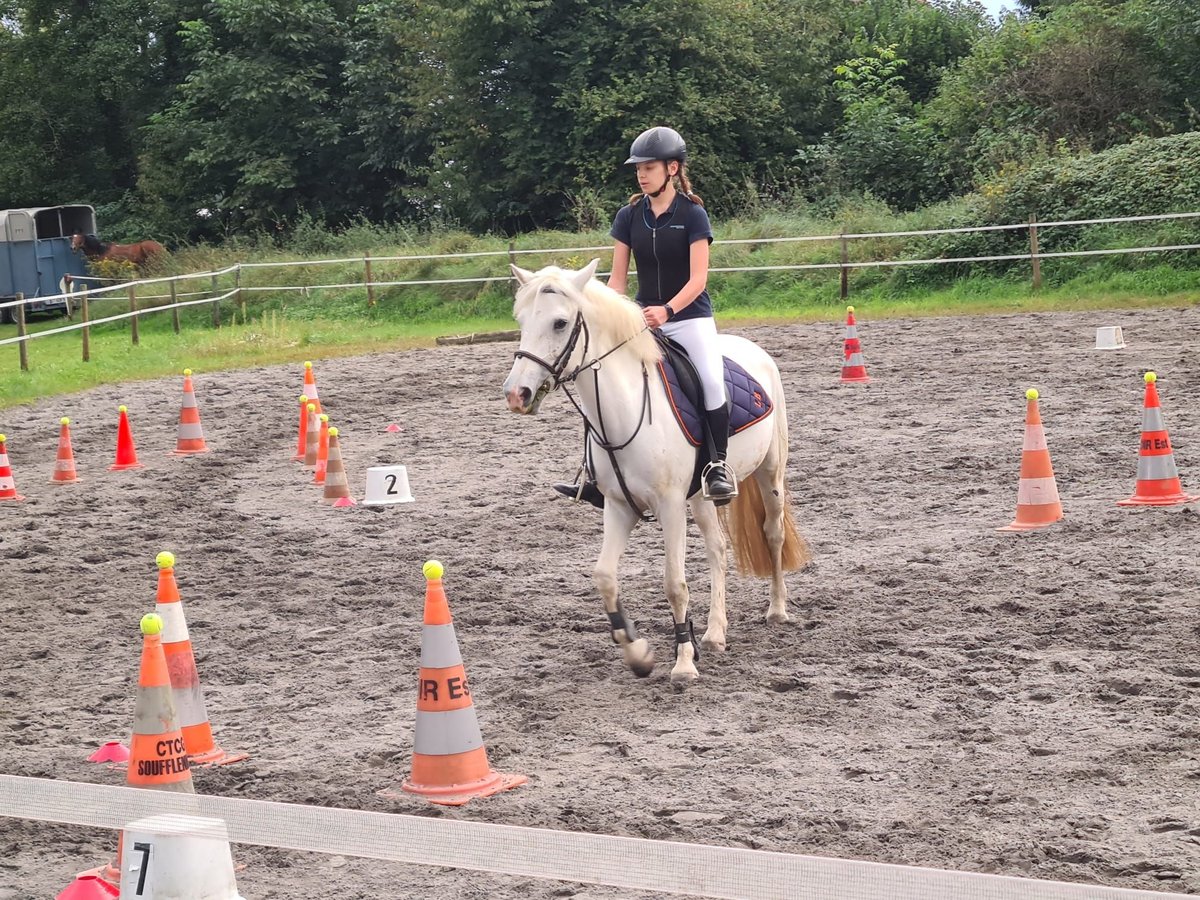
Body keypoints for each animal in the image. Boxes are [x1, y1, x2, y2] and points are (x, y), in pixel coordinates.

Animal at [501, 260, 811, 691]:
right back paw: (715, 633)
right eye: (520, 320)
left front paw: (683, 663)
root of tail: (753, 350)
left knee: (773, 533)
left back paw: (777, 610)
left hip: (770, 473)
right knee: (718, 549)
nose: (517, 395)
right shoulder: (618, 507)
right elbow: (605, 577)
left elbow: (674, 584)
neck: (626, 410)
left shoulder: (669, 506)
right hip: (701, 497)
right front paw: (639, 654)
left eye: (560, 323)